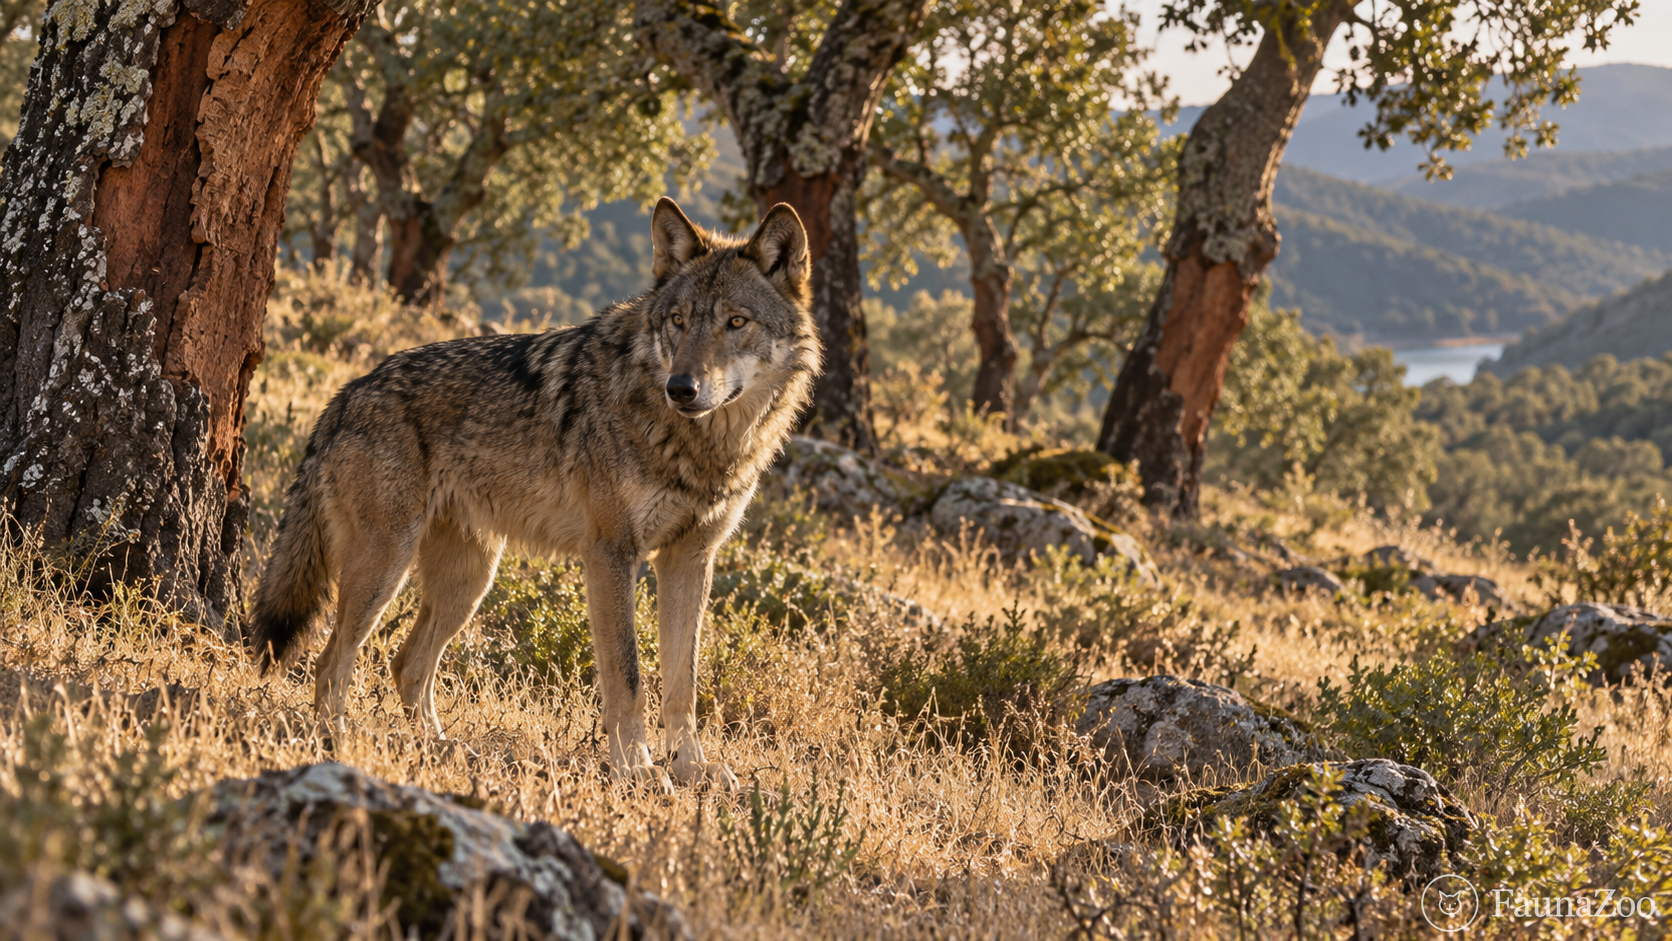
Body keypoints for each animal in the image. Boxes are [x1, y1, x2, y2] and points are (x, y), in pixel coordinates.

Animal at [248, 198, 819, 790]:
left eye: (736, 322)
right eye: (678, 322)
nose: (681, 388)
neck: (700, 446)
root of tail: (346, 394)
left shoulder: (689, 559)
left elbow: (683, 685)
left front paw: (692, 768)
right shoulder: (611, 555)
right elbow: (629, 680)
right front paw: (636, 770)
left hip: (468, 581)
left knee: (406, 664)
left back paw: (439, 748)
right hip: (386, 568)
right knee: (331, 663)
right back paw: (337, 746)